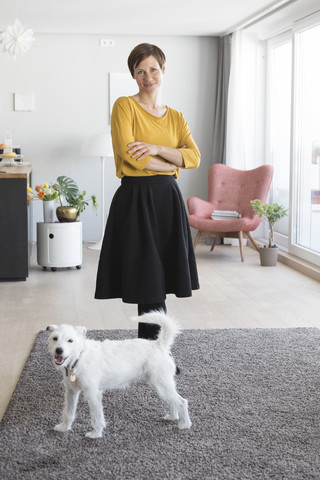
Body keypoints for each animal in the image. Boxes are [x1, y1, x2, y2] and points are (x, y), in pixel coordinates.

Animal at [46, 312, 191, 438]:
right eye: (55, 338)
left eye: (70, 340)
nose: (59, 350)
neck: (79, 357)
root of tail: (159, 344)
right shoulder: (71, 391)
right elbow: (68, 412)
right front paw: (64, 427)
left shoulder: (93, 394)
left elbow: (97, 417)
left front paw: (96, 434)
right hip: (163, 387)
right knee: (174, 402)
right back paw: (173, 417)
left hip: (162, 386)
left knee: (182, 402)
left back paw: (185, 424)